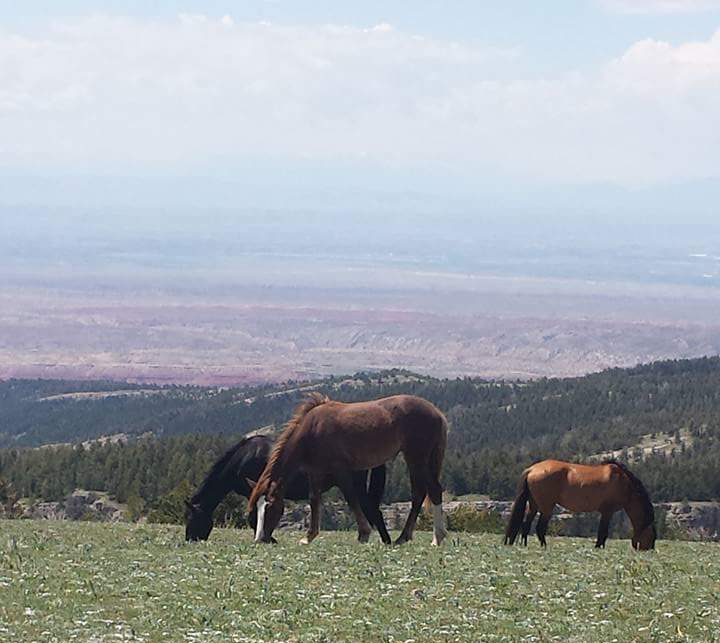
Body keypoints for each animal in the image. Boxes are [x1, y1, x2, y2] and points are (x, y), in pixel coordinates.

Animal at [248, 393, 448, 546]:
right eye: (255, 509)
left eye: (269, 506)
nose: (260, 539)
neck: (312, 429)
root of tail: (436, 412)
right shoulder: (315, 472)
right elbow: (314, 499)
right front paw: (309, 537)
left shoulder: (341, 470)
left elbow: (351, 498)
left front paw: (364, 533)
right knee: (419, 494)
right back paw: (404, 537)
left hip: (416, 458)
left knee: (433, 490)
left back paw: (436, 538)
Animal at [504, 459, 656, 550]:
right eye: (652, 537)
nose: (650, 550)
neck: (623, 483)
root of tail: (532, 469)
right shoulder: (607, 511)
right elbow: (603, 532)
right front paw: (598, 547)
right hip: (546, 507)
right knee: (540, 528)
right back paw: (544, 547)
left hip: (534, 505)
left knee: (526, 525)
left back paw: (524, 545)